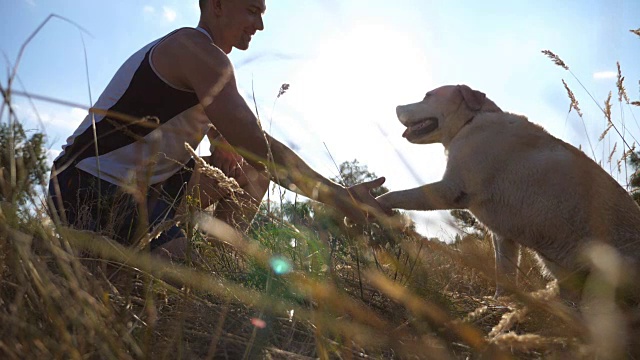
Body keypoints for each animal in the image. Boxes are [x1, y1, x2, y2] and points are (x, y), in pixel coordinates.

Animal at [376, 84, 640, 300]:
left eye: (427, 96)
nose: (397, 107)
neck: (471, 120)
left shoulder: (450, 189)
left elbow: (397, 194)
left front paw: (375, 203)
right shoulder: (504, 237)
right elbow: (504, 273)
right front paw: (500, 303)